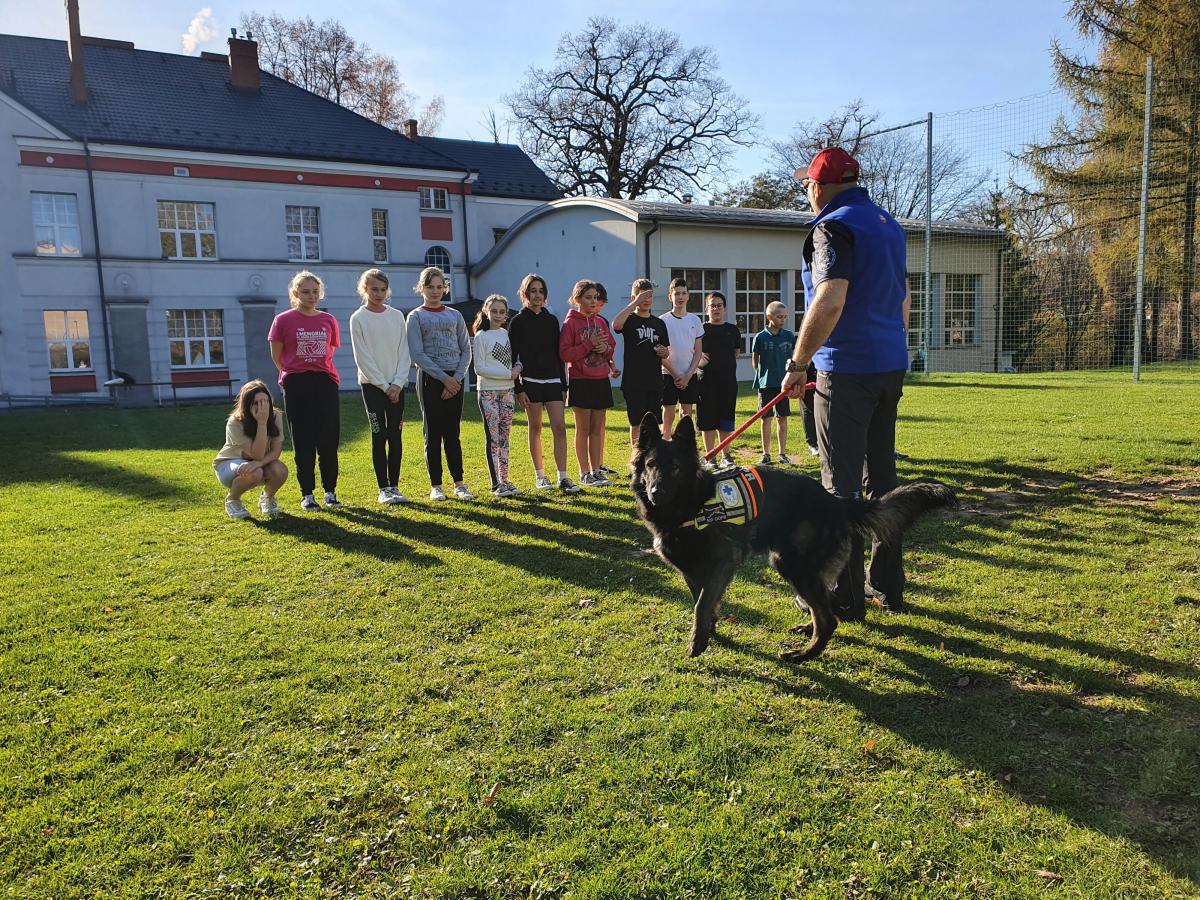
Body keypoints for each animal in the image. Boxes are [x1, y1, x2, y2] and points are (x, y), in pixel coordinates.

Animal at [628, 415, 955, 662]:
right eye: (650, 465)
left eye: (675, 467)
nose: (656, 492)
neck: (691, 503)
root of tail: (836, 501)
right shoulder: (693, 571)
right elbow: (703, 602)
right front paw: (709, 632)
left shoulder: (722, 564)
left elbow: (701, 604)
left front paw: (697, 642)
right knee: (825, 608)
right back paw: (808, 632)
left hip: (791, 564)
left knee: (828, 618)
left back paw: (803, 655)